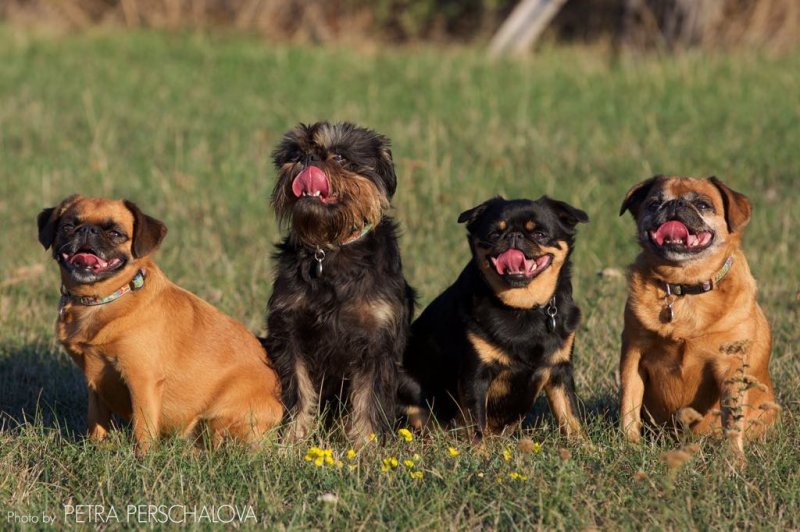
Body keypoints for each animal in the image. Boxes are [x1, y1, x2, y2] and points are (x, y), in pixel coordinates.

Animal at [40, 194, 286, 454]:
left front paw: (142, 459)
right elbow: (96, 422)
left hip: (217, 418)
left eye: (116, 233)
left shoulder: (142, 381)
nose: (87, 230)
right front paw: (95, 449)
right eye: (68, 226)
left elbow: (142, 429)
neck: (102, 300)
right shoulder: (95, 383)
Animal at [266, 122, 416, 442]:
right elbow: (299, 389)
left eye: (339, 157)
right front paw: (292, 440)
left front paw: (364, 445)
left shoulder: (377, 341)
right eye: (294, 154)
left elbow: (369, 397)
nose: (307, 159)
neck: (330, 247)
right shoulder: (289, 332)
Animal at [406, 195, 588, 440]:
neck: (523, 307)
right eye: (494, 234)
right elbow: (477, 427)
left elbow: (571, 418)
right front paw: (480, 450)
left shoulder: (560, 371)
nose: (514, 236)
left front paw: (585, 445)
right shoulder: (476, 377)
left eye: (539, 234)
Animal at [620, 176, 776, 458]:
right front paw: (629, 445)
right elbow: (629, 404)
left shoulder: (730, 366)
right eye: (654, 203)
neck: (684, 286)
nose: (675, 204)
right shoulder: (633, 355)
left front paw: (733, 459)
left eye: (703, 205)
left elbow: (731, 418)